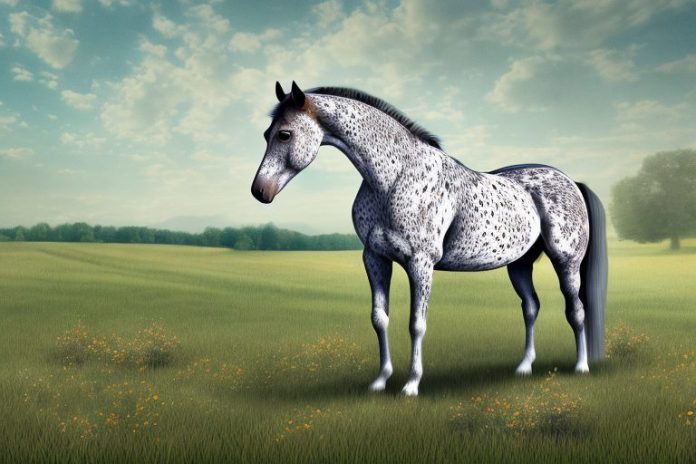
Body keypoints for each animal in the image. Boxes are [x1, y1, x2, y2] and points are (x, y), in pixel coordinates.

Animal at [251, 81, 608, 396]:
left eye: (285, 134)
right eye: (267, 134)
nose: (259, 191)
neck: (394, 177)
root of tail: (569, 181)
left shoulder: (419, 263)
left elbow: (416, 324)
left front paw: (411, 385)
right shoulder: (374, 259)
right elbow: (379, 319)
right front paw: (380, 381)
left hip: (566, 262)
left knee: (576, 309)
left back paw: (581, 367)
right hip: (519, 264)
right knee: (531, 308)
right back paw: (523, 367)